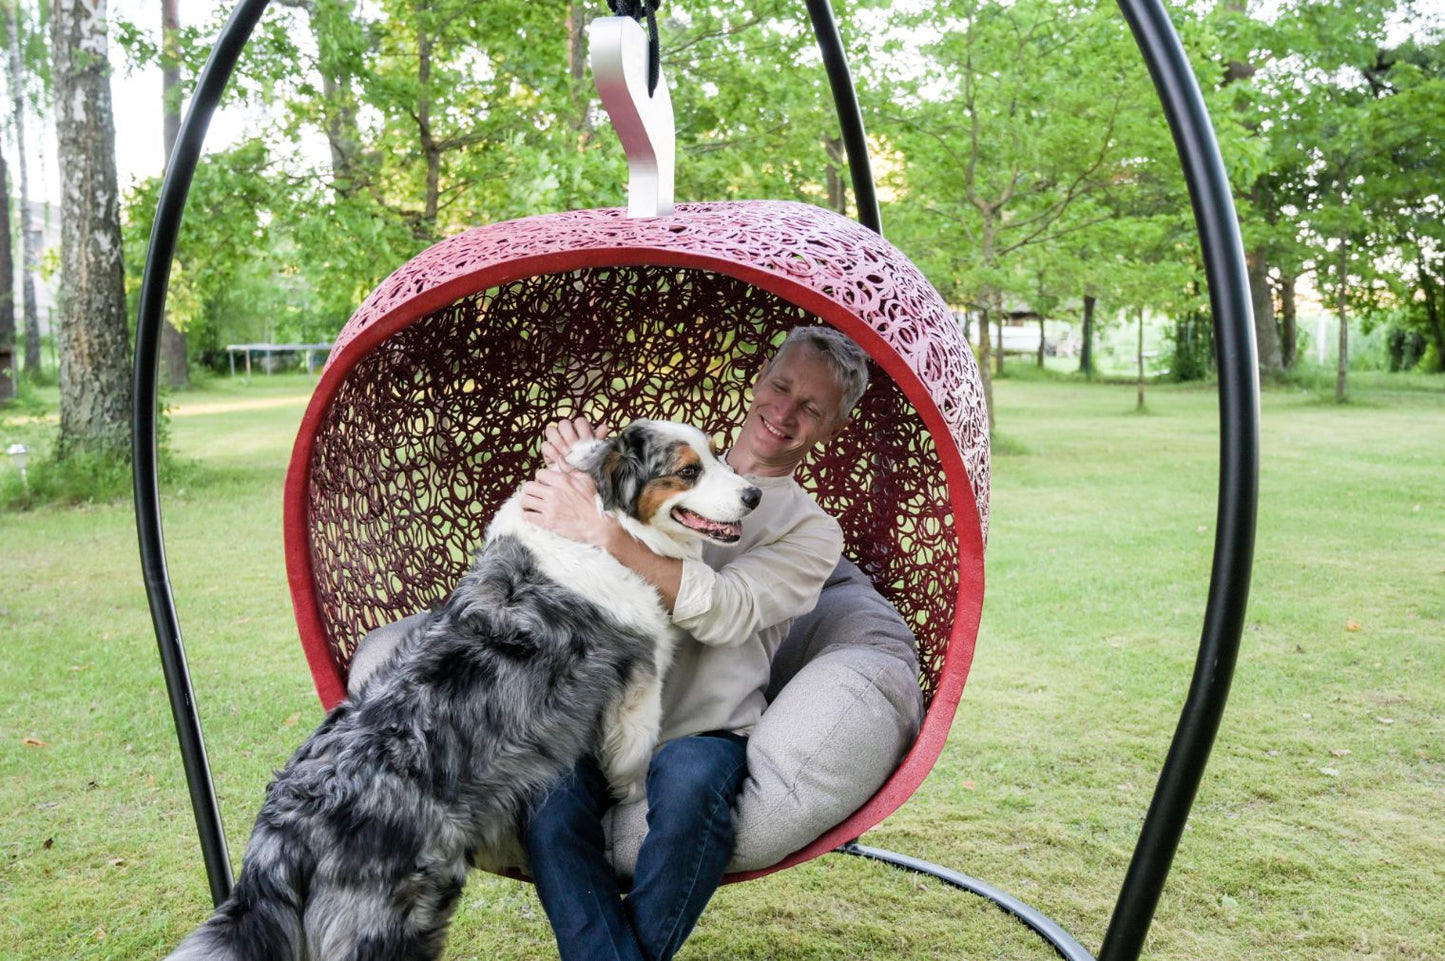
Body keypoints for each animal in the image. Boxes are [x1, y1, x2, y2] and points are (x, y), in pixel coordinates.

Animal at [164, 419, 762, 959]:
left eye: (718, 454)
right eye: (688, 471)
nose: (753, 494)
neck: (601, 521)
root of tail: (283, 831)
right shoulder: (636, 687)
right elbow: (633, 763)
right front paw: (633, 800)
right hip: (396, 919)